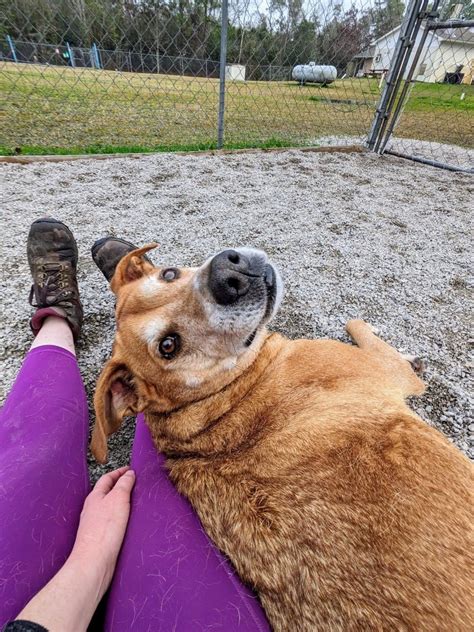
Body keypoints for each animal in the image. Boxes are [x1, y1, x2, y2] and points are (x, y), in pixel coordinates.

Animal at [90, 246, 472, 632]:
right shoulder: (392, 370)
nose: (230, 275)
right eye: (168, 346)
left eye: (168, 274)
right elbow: (358, 324)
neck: (224, 393)